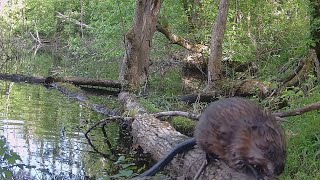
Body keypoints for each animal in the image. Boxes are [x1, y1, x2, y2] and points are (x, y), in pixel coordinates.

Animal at [139, 97, 286, 179]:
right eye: (269, 151)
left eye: (284, 151)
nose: (280, 170)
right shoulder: (236, 145)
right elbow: (240, 162)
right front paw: (258, 173)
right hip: (205, 139)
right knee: (205, 149)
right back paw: (212, 157)